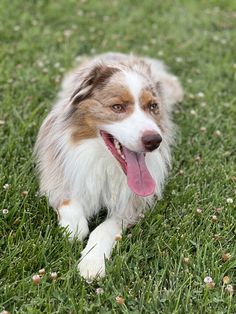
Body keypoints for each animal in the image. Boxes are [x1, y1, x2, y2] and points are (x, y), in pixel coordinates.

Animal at [34, 51, 183, 280]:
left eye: (153, 107)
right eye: (117, 107)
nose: (154, 141)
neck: (104, 160)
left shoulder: (132, 202)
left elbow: (104, 228)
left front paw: (92, 263)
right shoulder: (56, 170)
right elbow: (69, 204)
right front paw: (74, 227)